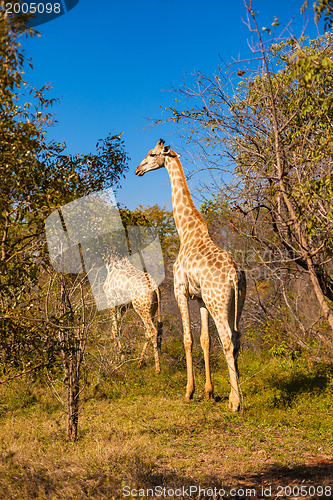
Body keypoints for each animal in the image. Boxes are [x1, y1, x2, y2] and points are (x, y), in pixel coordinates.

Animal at [134, 140, 245, 410]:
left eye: (152, 154)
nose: (138, 170)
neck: (187, 232)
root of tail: (234, 276)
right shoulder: (201, 299)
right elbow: (205, 340)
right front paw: (209, 392)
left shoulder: (180, 291)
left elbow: (188, 339)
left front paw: (189, 391)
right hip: (235, 304)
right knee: (237, 339)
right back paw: (234, 396)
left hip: (219, 304)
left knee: (228, 340)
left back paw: (235, 403)